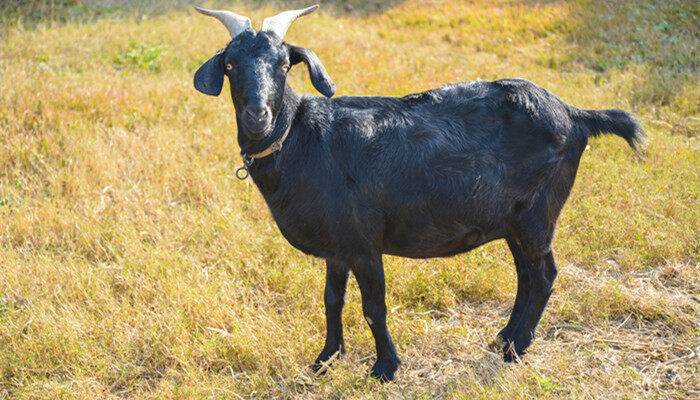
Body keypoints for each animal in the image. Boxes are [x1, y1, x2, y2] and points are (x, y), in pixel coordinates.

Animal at [193, 5, 644, 382]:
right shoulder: (336, 246)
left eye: (285, 65)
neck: (301, 138)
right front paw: (325, 359)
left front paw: (384, 368)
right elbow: (332, 300)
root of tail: (575, 114)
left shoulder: (363, 242)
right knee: (527, 276)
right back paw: (504, 339)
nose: (258, 115)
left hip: (538, 214)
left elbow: (373, 307)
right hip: (514, 220)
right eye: (230, 65)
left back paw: (515, 349)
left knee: (544, 275)